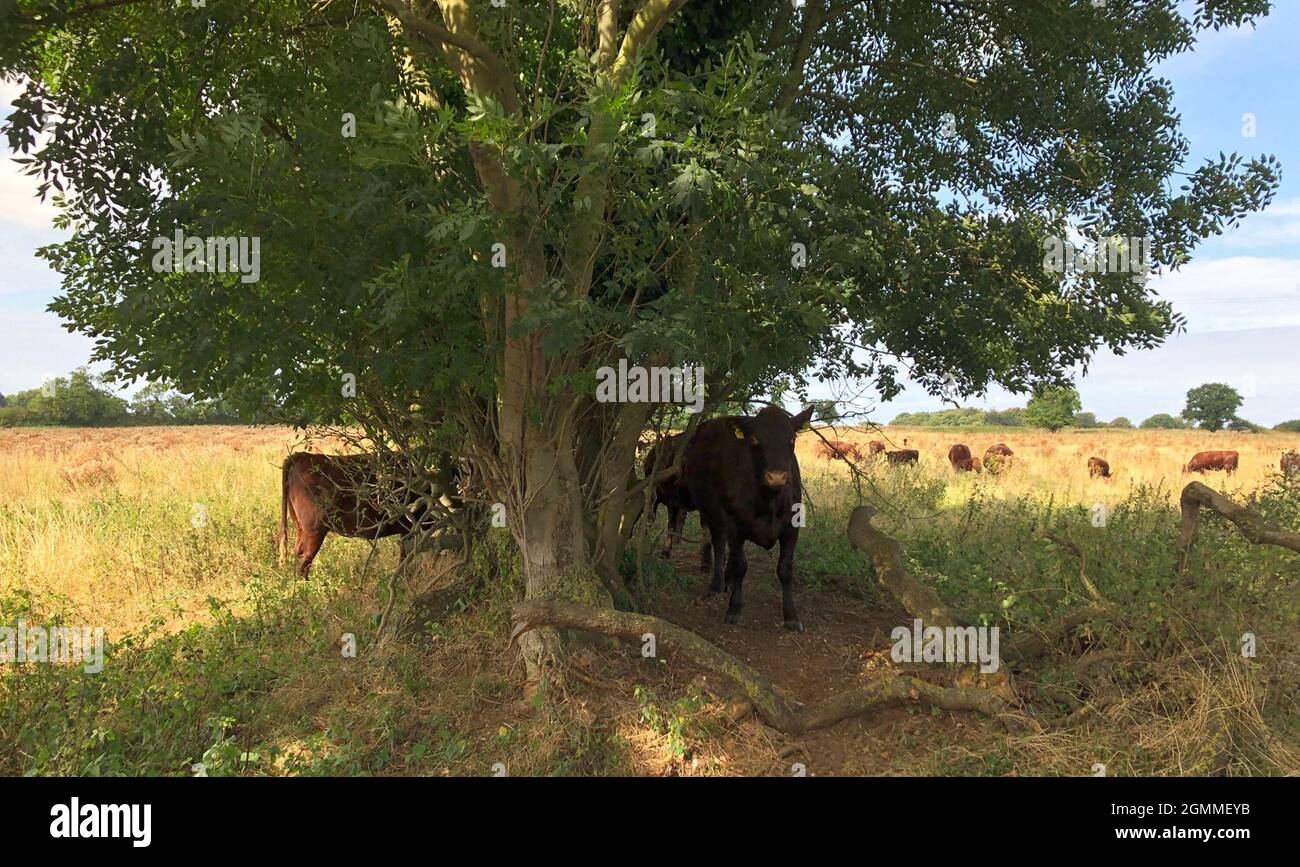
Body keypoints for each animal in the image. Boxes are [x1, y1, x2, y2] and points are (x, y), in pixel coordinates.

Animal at [274, 452, 447, 579]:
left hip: (301, 528)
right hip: (314, 530)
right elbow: (407, 554)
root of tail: (301, 456)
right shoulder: (411, 527)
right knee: (303, 560)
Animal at [681, 402, 811, 634]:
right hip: (710, 512)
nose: (776, 476)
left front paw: (791, 615)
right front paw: (734, 608)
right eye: (755, 440)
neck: (768, 502)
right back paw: (717, 585)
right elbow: (741, 564)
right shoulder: (734, 524)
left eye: (792, 438)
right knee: (720, 546)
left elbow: (785, 569)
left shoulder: (791, 527)